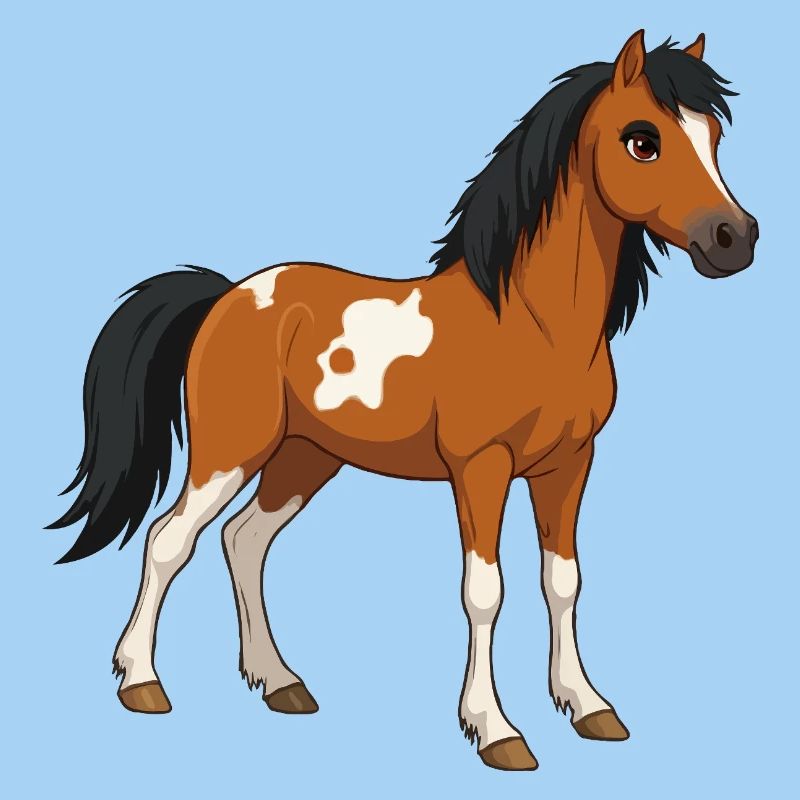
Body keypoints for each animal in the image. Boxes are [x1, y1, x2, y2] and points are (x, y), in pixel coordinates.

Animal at [49, 30, 758, 771]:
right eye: (642, 140)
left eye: (713, 135)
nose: (735, 239)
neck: (531, 325)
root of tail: (229, 294)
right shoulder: (481, 469)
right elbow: (485, 592)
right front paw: (495, 730)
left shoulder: (569, 465)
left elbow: (563, 581)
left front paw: (589, 706)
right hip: (231, 452)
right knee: (169, 540)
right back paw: (141, 682)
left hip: (306, 458)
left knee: (244, 541)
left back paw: (280, 683)